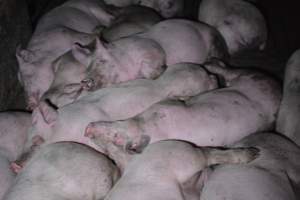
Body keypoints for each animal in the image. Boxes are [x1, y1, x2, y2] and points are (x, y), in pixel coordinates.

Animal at [86, 61, 282, 162]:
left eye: (116, 136)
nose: (88, 129)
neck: (147, 126)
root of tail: (276, 85)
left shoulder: (169, 107)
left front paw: (256, 154)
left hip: (251, 76)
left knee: (230, 70)